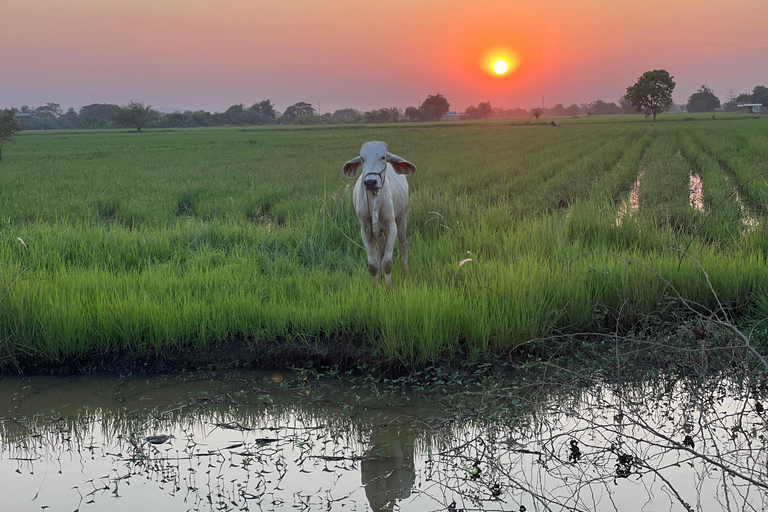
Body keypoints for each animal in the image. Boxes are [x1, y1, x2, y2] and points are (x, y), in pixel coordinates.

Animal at [342, 142, 414, 290]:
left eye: (383, 157)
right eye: (362, 158)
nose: (370, 182)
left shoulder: (391, 226)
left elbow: (388, 262)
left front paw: (388, 289)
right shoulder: (365, 229)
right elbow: (373, 264)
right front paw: (375, 289)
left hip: (402, 216)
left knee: (402, 245)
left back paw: (406, 272)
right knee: (381, 249)